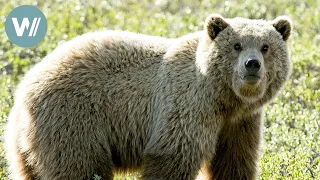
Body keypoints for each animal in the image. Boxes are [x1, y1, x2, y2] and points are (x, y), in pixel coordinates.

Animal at [4, 14, 292, 180]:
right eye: (237, 45)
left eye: (266, 47)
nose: (252, 65)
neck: (224, 98)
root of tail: (22, 92)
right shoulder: (187, 105)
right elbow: (172, 158)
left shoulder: (240, 123)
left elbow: (234, 161)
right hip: (75, 122)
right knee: (81, 169)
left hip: (30, 147)